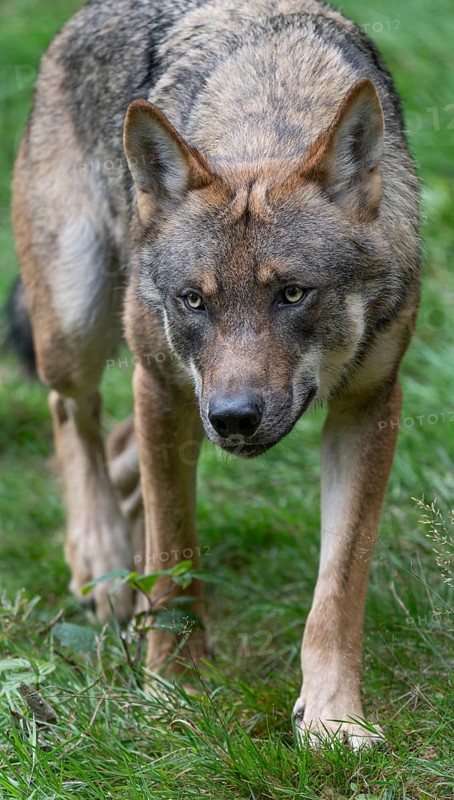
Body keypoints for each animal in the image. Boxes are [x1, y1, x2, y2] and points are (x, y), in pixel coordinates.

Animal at [11, 0, 420, 747]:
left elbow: (339, 587)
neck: (270, 104)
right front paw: (173, 693)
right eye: (193, 300)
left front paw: (332, 718)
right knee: (71, 413)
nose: (233, 419)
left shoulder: (370, 403)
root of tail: (73, 22)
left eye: (292, 293)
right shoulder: (164, 388)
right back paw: (99, 558)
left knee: (117, 448)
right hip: (76, 329)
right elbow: (176, 559)